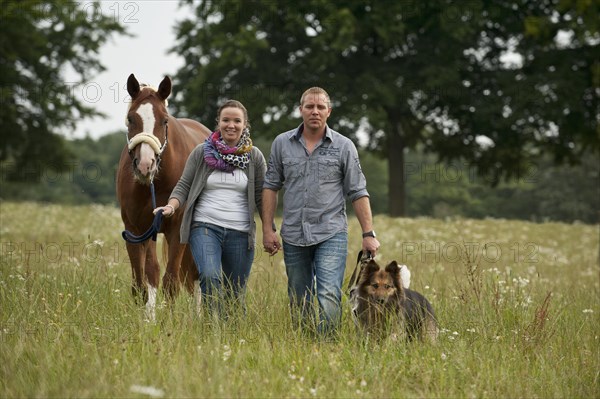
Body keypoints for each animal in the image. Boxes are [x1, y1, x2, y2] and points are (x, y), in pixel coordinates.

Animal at [117, 73, 211, 320]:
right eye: (131, 119)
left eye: (164, 121)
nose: (145, 165)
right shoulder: (137, 229)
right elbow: (145, 278)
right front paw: (148, 319)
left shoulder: (176, 228)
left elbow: (170, 280)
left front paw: (168, 320)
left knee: (194, 275)